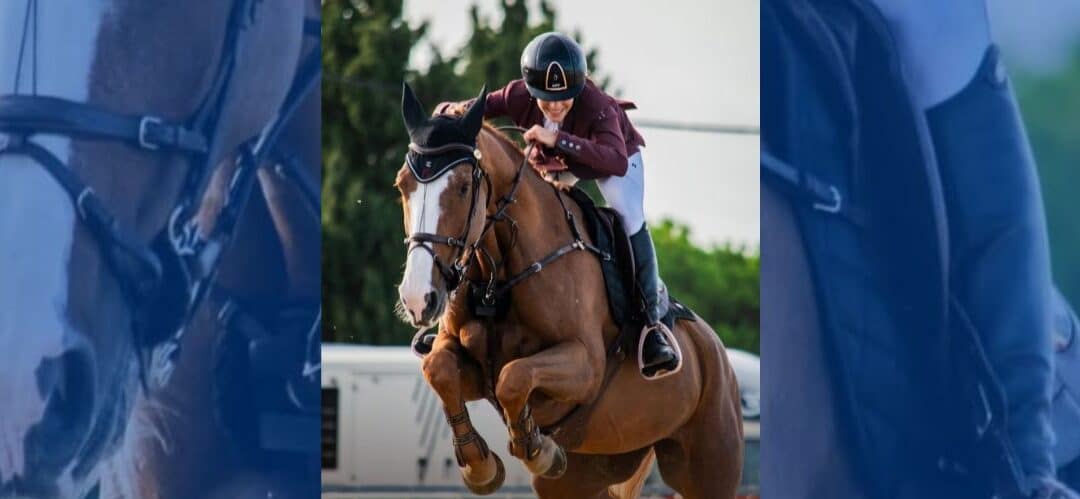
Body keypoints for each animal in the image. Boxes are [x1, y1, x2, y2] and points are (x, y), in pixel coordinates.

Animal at [395, 83, 743, 496]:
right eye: (402, 185)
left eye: (464, 188)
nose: (418, 298)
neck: (497, 282)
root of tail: (717, 351)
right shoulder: (465, 361)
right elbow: (440, 369)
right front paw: (481, 465)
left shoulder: (585, 364)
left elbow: (514, 377)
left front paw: (536, 449)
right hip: (587, 471)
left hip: (710, 466)